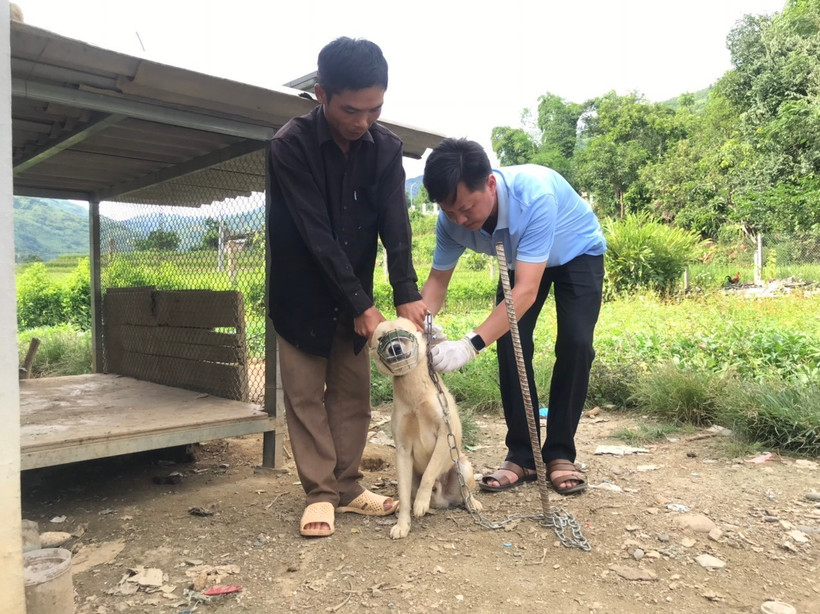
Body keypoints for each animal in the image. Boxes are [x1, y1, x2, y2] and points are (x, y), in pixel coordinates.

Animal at [372, 318, 480, 540]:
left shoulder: (446, 435)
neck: (415, 395)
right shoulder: (403, 450)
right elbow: (405, 497)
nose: (394, 348)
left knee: (466, 493)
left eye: (404, 332)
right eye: (380, 338)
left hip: (463, 468)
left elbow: (429, 473)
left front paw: (422, 502)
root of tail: (442, 498)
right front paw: (402, 524)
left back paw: (472, 504)